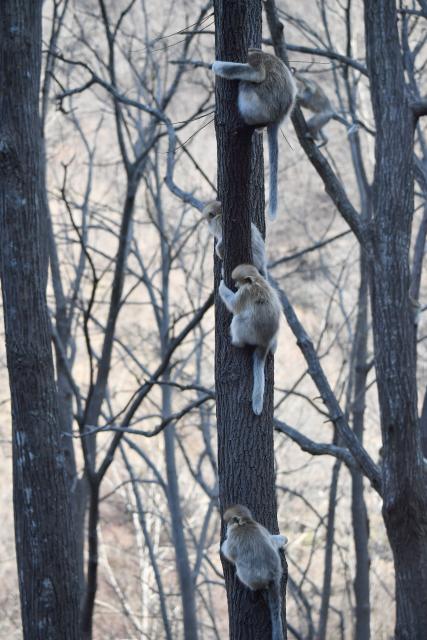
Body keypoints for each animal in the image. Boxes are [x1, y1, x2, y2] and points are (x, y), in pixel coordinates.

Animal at [212, 49, 297, 220]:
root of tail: (277, 119)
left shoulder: (257, 58)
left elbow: (257, 74)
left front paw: (217, 66)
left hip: (258, 106)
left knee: (246, 84)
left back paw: (248, 120)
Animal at [218, 264, 281, 415]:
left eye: (238, 281)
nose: (235, 285)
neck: (257, 280)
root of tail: (265, 342)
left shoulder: (245, 292)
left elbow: (233, 305)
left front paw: (221, 282)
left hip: (248, 332)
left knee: (238, 318)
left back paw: (237, 342)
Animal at [221, 505, 287, 640]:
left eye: (229, 523)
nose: (226, 530)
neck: (245, 523)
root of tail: (274, 575)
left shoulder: (234, 538)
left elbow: (228, 552)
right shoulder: (262, 528)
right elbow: (272, 540)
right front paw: (282, 539)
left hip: (251, 576)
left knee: (241, 568)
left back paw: (252, 587)